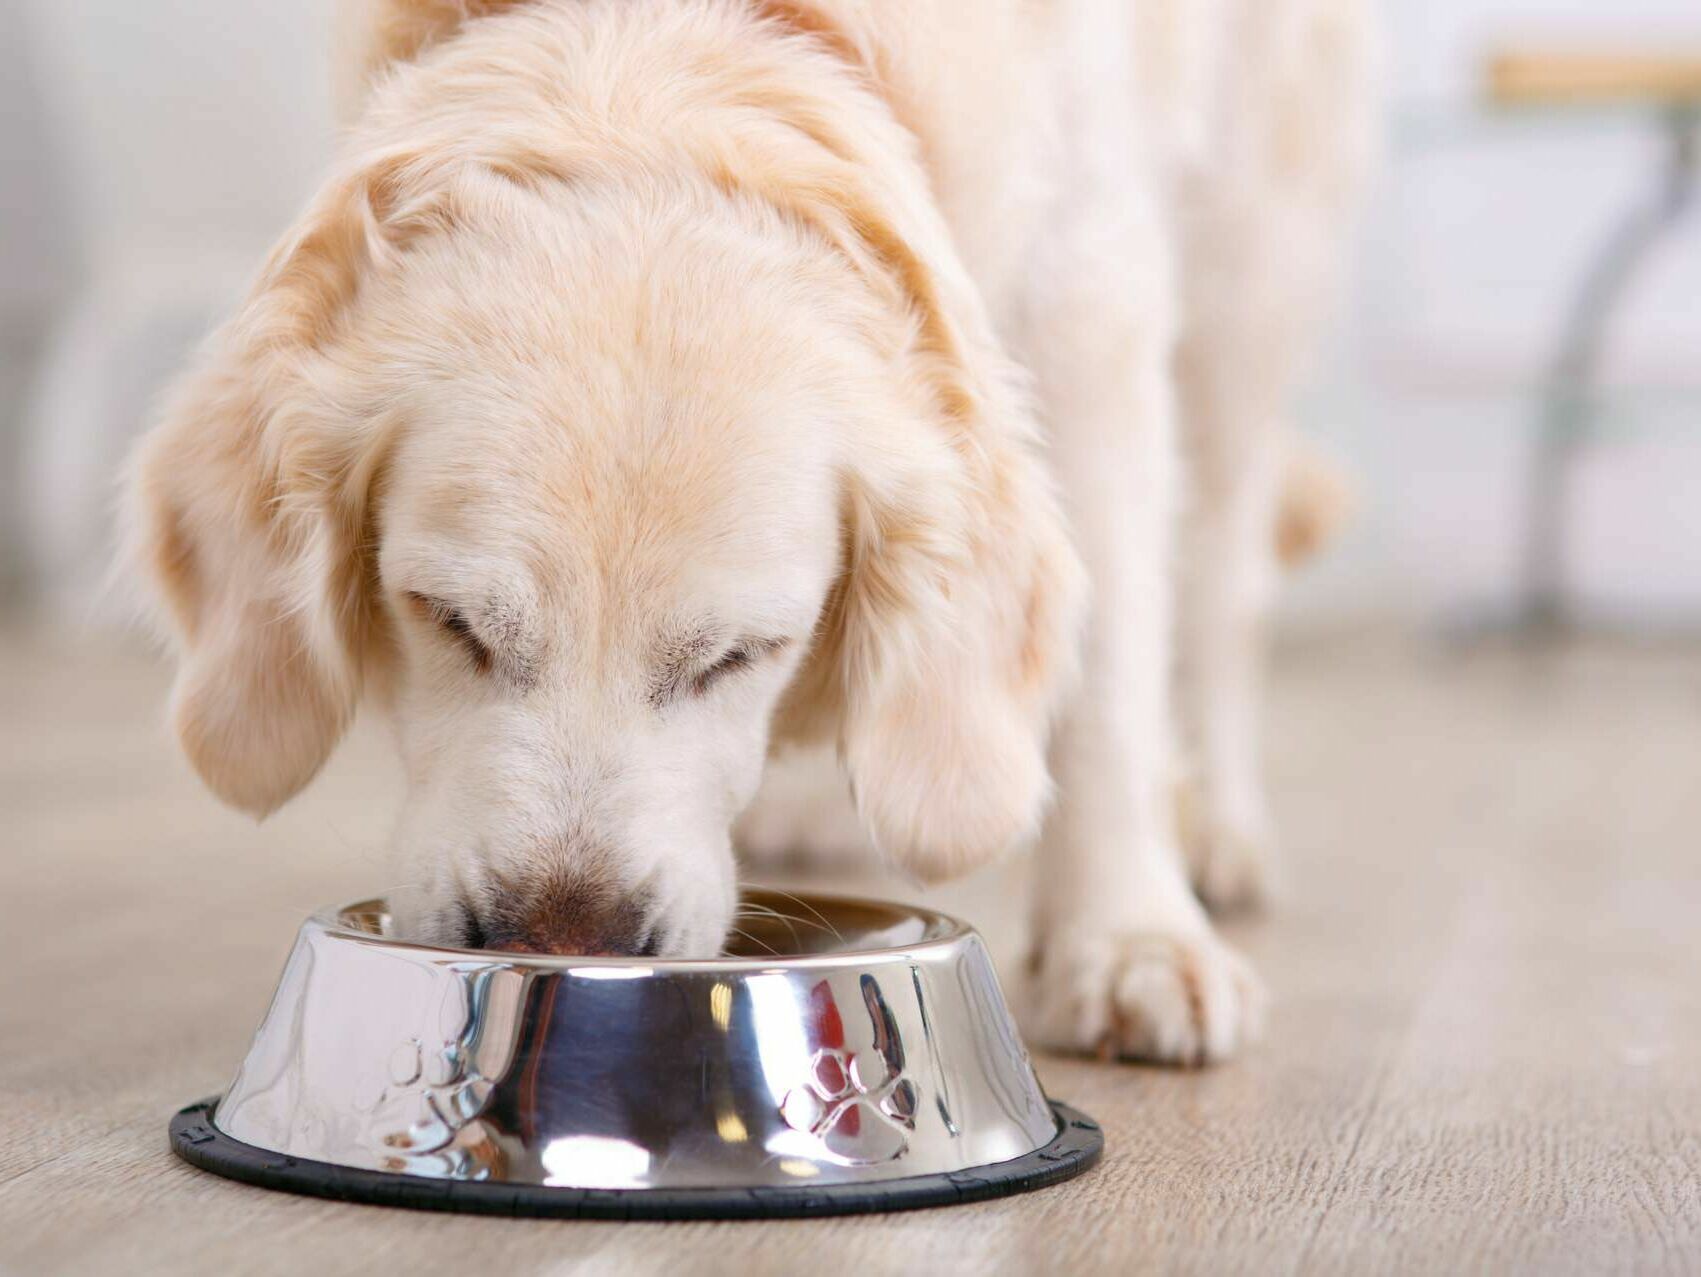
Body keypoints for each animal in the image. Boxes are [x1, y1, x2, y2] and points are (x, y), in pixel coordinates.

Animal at [125, 0, 1374, 1061]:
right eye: (449, 621)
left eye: (740, 654)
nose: (565, 943)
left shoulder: (1090, 290)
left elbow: (1110, 668)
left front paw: (1128, 938)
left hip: (1251, 266)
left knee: (1220, 576)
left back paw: (1215, 829)